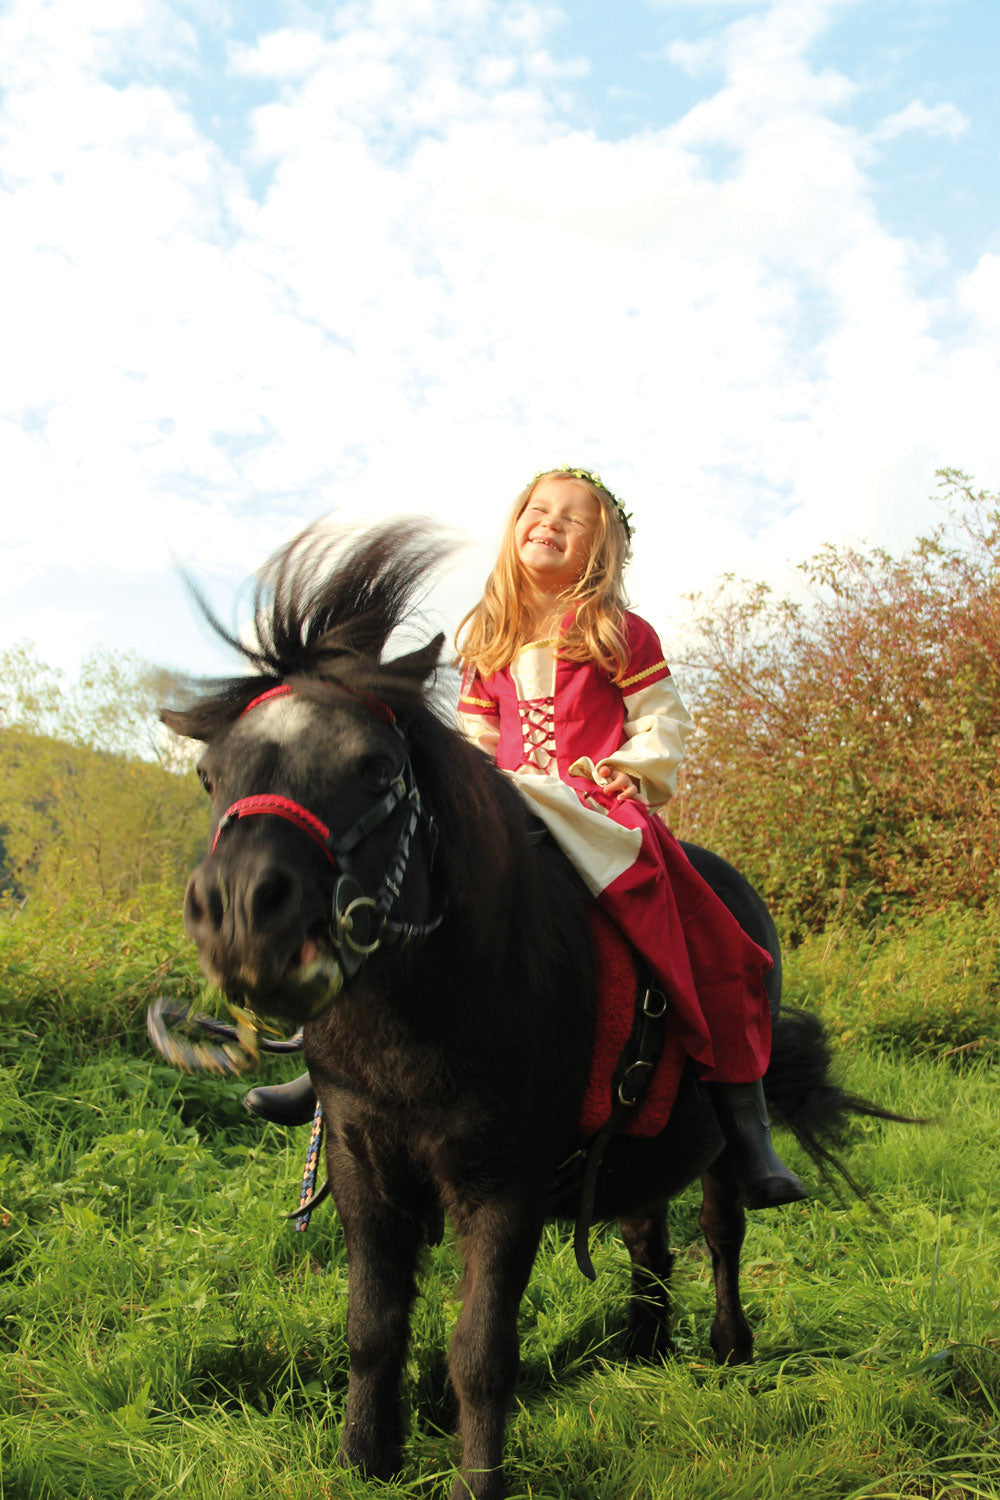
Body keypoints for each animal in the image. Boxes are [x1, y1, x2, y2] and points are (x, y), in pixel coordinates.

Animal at [162, 525, 899, 1500]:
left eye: (375, 767)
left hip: (717, 1147)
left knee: (721, 1232)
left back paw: (729, 1347)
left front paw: (480, 1480)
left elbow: (481, 1351)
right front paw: (367, 1458)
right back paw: (644, 1344)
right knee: (647, 1237)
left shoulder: (501, 1181)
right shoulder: (362, 1163)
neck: (429, 1008)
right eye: (210, 774)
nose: (245, 915)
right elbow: (372, 1327)